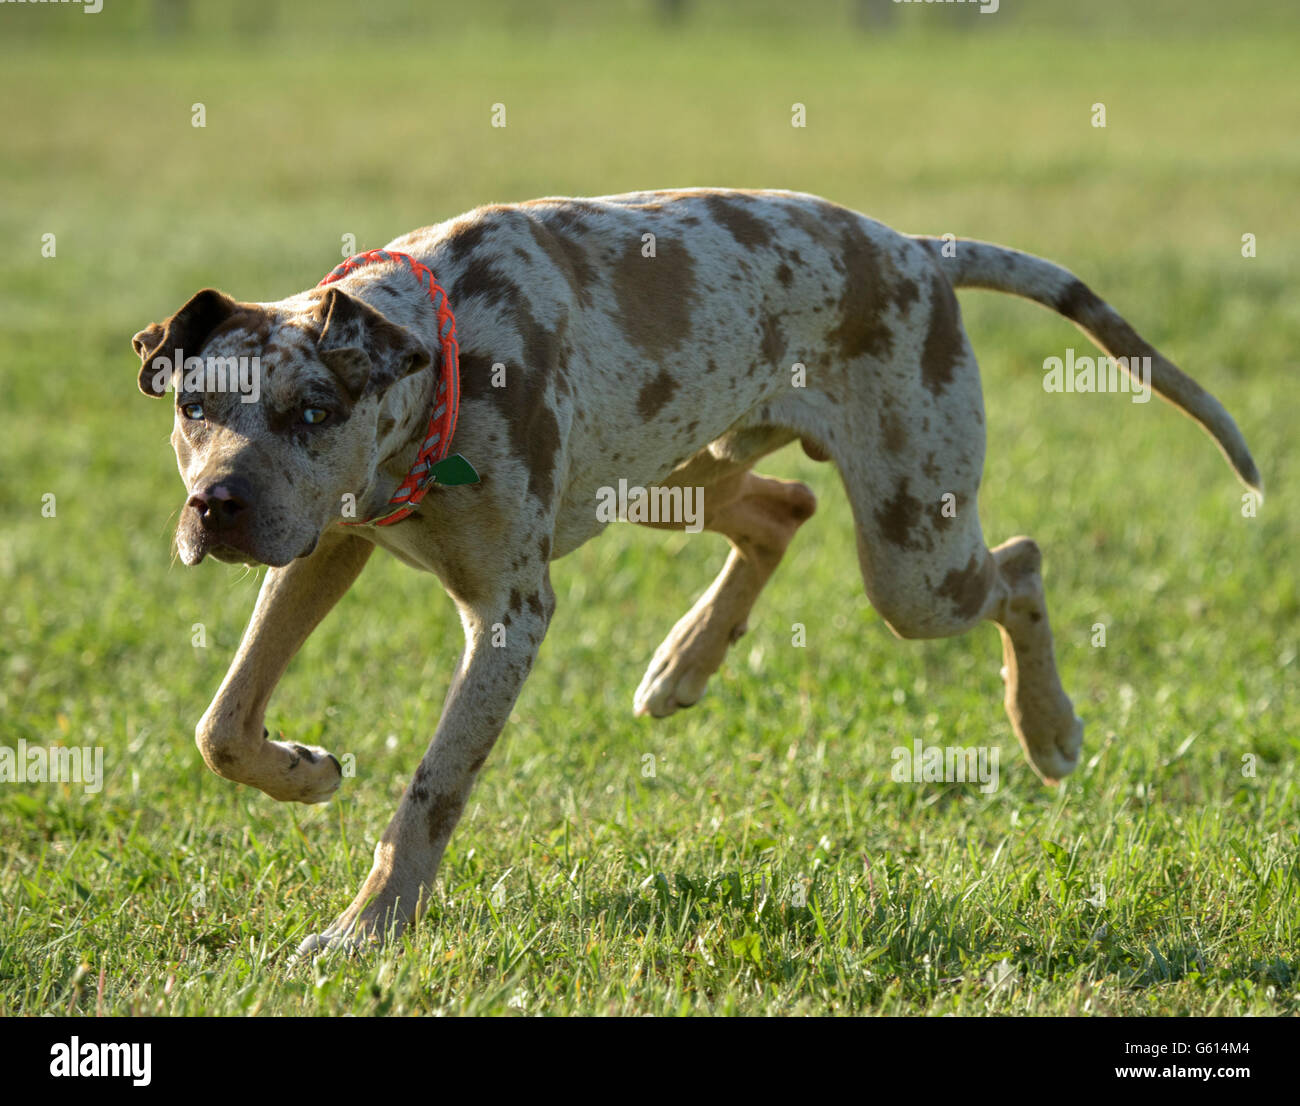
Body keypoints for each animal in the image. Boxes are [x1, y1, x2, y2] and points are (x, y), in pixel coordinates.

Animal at [129, 188, 1258, 951]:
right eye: (194, 405)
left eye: (312, 411)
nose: (215, 507)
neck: (439, 356)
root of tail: (916, 249)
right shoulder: (328, 542)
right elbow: (222, 724)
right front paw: (304, 771)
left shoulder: (510, 613)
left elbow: (432, 791)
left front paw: (369, 931)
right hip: (679, 473)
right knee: (785, 510)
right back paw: (684, 664)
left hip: (913, 557)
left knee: (1017, 564)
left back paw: (1049, 728)